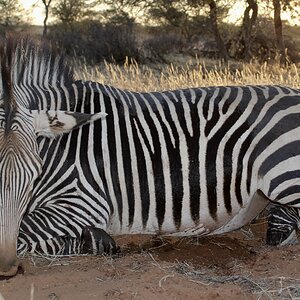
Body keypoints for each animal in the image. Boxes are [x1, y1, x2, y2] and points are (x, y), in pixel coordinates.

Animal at [0, 37, 298, 276]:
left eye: (35, 173)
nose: (7, 268)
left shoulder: (84, 201)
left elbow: (25, 230)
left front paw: (94, 241)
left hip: (283, 178)